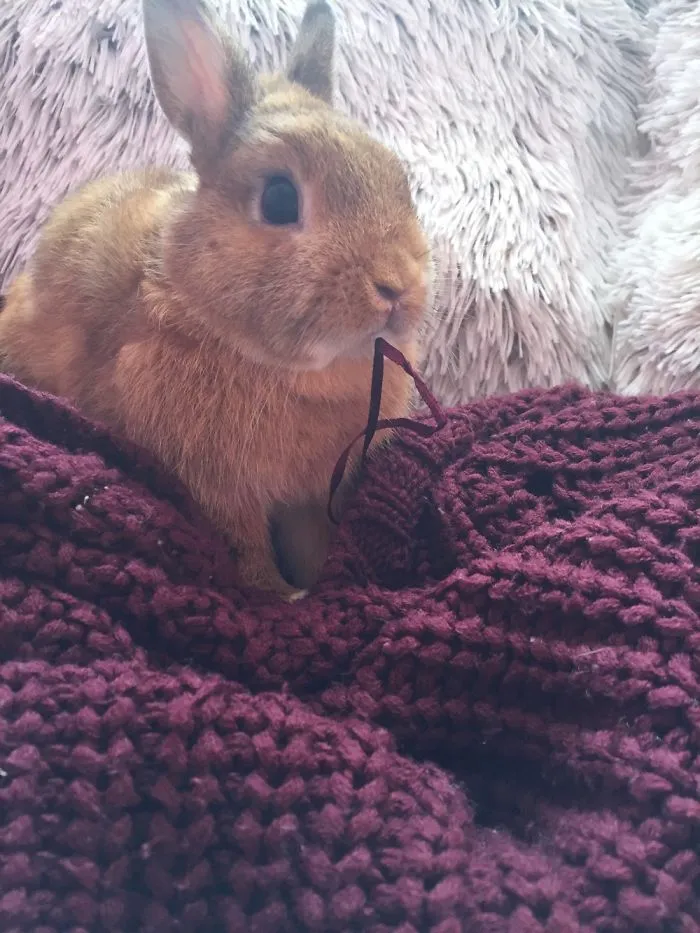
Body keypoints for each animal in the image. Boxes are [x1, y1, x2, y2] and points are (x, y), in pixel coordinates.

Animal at [0, 0, 431, 599]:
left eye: (399, 180)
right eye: (279, 199)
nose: (397, 285)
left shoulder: (312, 498)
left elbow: (312, 543)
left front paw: (318, 585)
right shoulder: (220, 491)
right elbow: (245, 547)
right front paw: (282, 595)